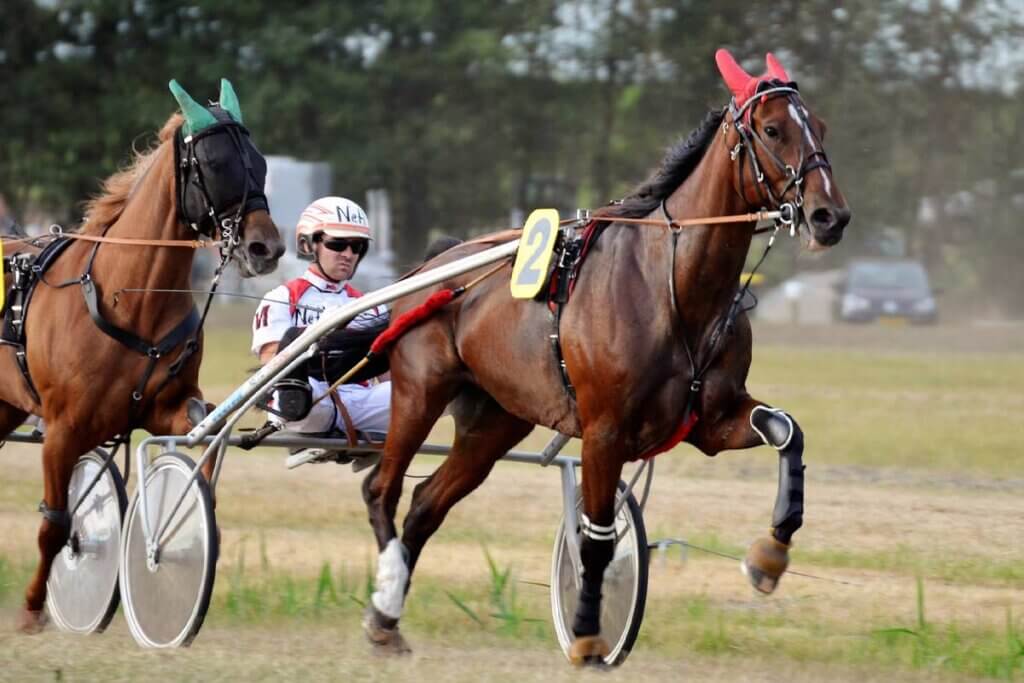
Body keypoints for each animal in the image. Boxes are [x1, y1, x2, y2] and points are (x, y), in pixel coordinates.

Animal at [0, 78, 284, 630]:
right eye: (215, 163)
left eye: (259, 163)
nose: (267, 248)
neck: (127, 297)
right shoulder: (63, 427)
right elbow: (56, 523)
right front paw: (33, 607)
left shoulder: (169, 407)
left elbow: (200, 452)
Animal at [364, 49, 851, 663]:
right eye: (771, 129)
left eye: (823, 127)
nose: (830, 216)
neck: (673, 287)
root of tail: (434, 267)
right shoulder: (604, 432)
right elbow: (595, 540)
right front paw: (589, 633)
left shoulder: (712, 421)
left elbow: (787, 431)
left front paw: (770, 555)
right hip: (420, 390)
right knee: (382, 489)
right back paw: (384, 597)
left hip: (496, 420)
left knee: (427, 502)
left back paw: (388, 616)